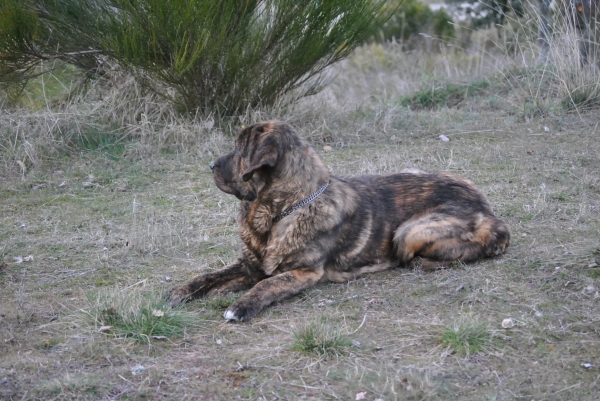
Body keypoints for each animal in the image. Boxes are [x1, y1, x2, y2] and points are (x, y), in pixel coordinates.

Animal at [166, 120, 508, 320]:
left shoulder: (304, 272)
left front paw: (241, 306)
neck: (279, 214)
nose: (210, 165)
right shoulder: (249, 264)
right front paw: (181, 291)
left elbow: (269, 284)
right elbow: (209, 275)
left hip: (408, 231)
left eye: (239, 149)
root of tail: (490, 212)